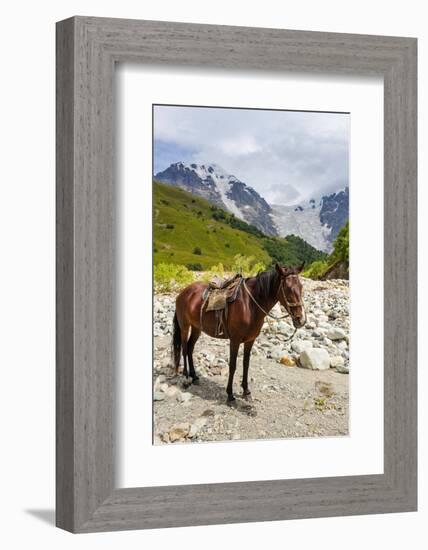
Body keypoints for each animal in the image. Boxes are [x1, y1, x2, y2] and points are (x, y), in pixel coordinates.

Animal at [170, 266, 304, 404]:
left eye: (301, 287)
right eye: (288, 289)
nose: (301, 319)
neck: (249, 305)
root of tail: (183, 292)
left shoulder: (250, 340)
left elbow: (246, 365)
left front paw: (246, 391)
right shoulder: (235, 340)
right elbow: (233, 366)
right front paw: (230, 394)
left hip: (197, 328)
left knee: (190, 348)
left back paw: (194, 376)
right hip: (185, 327)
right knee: (184, 349)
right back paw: (186, 378)